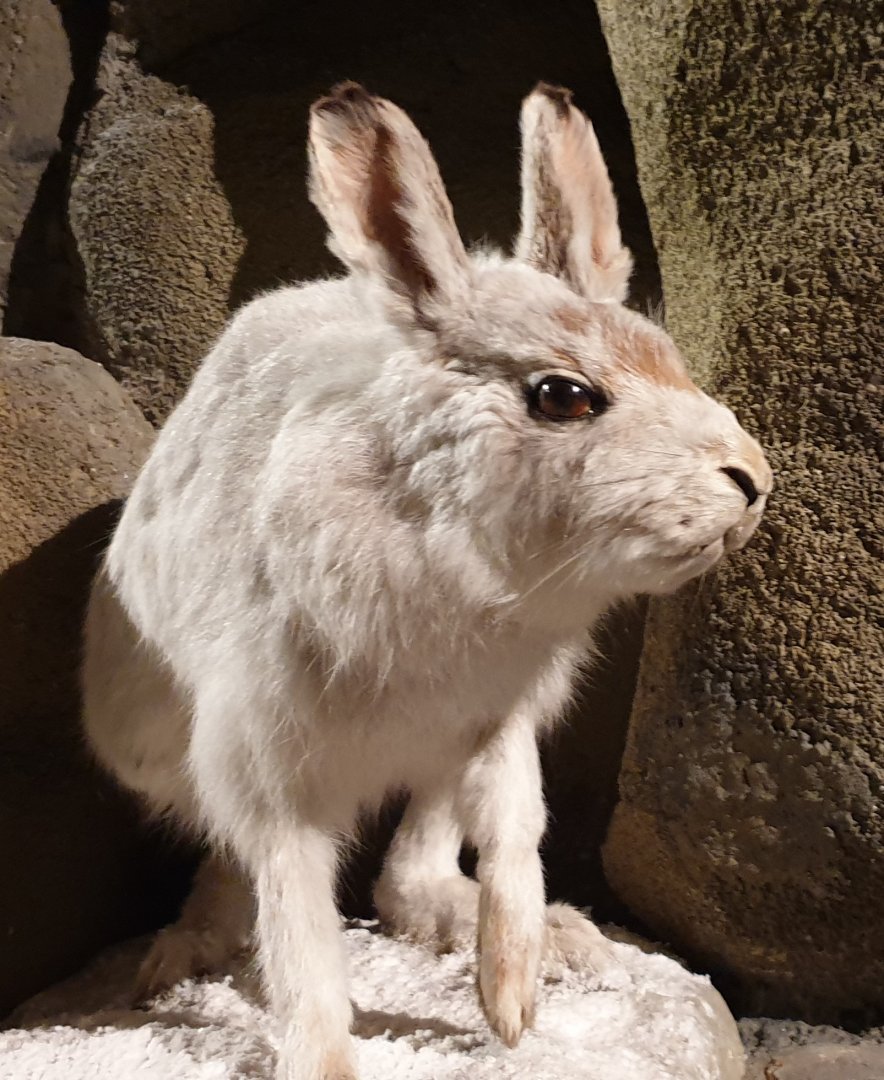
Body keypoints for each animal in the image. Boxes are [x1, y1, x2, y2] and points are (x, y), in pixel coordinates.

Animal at [81, 81, 772, 1080]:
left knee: (410, 874)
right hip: (174, 752)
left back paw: (552, 939)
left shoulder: (500, 718)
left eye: (670, 358)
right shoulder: (267, 766)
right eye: (564, 396)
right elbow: (300, 931)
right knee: (237, 866)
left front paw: (512, 998)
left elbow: (518, 832)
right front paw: (323, 1062)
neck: (453, 554)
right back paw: (181, 951)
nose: (752, 479)